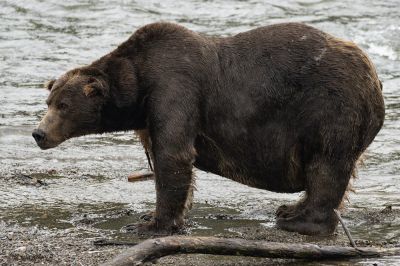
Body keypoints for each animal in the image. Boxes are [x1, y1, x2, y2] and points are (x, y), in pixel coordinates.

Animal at [33, 22, 384, 235]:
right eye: (49, 100)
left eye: (63, 105)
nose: (38, 134)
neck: (138, 86)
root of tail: (374, 78)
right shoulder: (150, 113)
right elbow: (164, 160)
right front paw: (162, 216)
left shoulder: (175, 88)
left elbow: (173, 155)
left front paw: (151, 223)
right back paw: (290, 208)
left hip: (329, 106)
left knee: (326, 165)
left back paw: (298, 220)